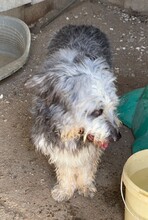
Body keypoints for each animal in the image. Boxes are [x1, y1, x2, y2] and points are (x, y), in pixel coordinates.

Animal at [26, 24, 121, 202]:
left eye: (113, 107)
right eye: (97, 111)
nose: (117, 136)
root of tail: (82, 25)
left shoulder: (90, 148)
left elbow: (86, 167)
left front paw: (85, 185)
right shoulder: (56, 144)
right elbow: (65, 168)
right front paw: (65, 189)